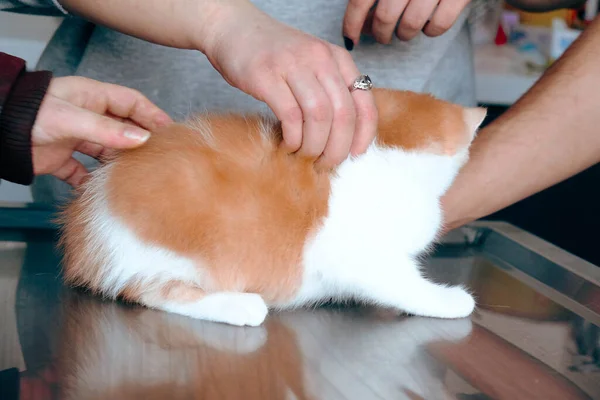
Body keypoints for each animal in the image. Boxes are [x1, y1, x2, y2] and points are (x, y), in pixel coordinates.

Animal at [58, 89, 486, 326]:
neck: (386, 157)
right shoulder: (358, 257)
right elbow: (401, 284)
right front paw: (449, 300)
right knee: (155, 293)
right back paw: (240, 306)